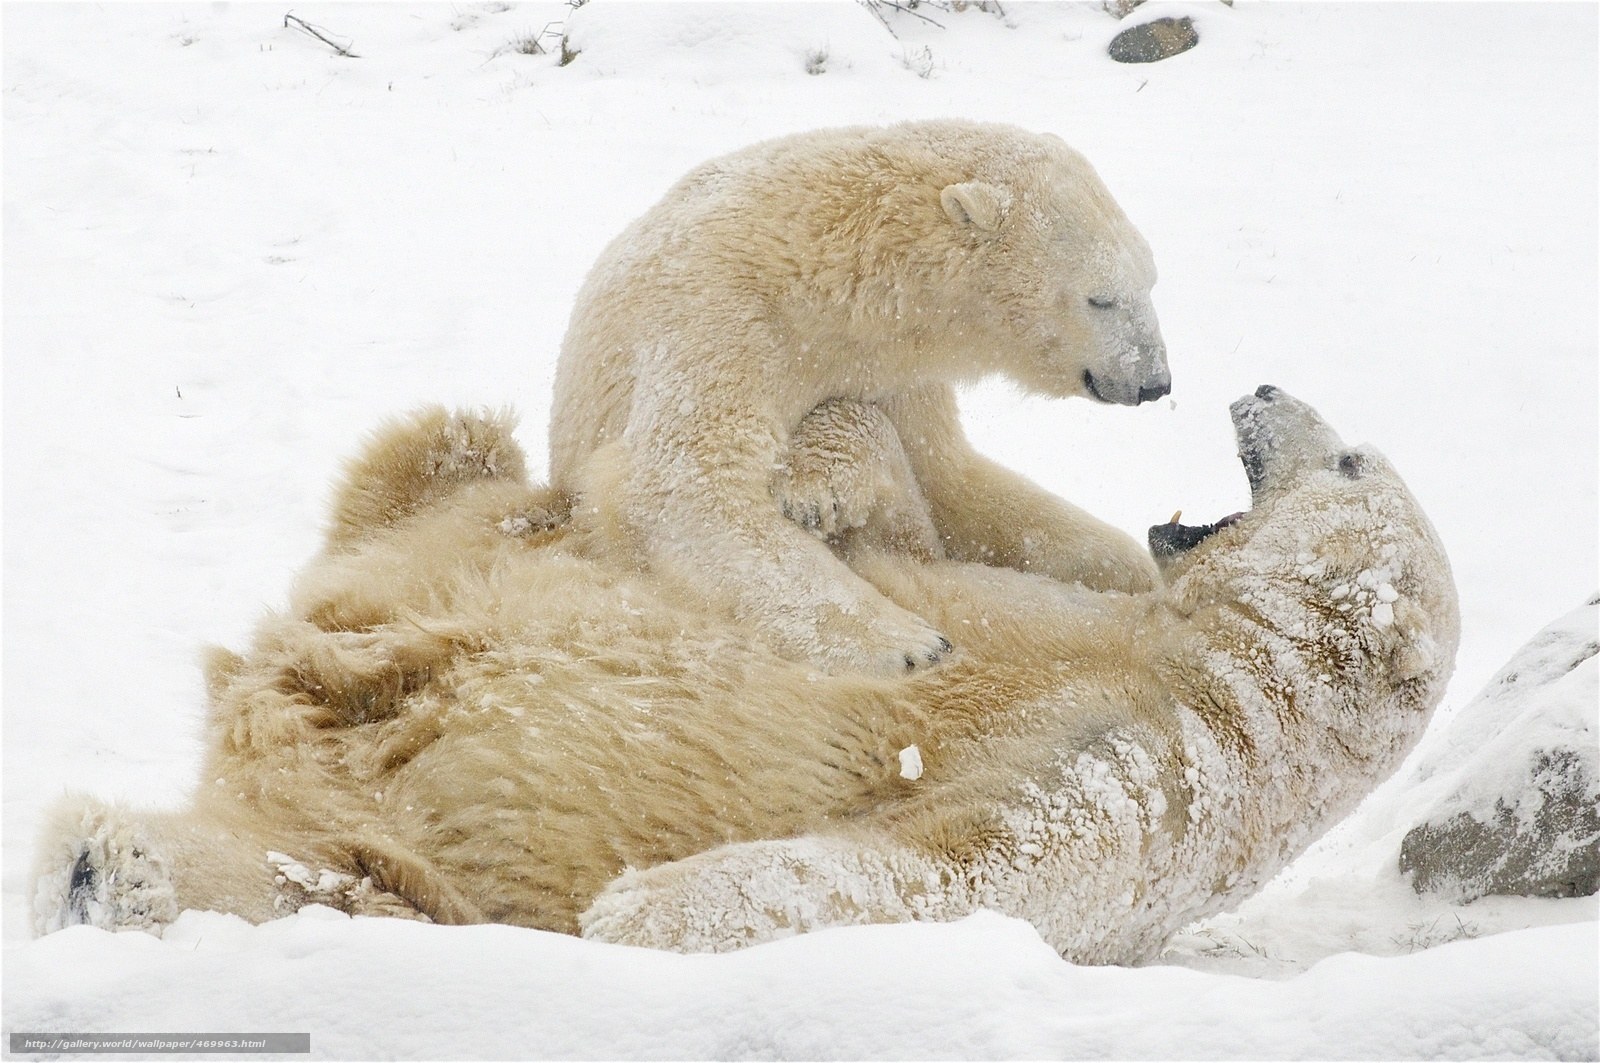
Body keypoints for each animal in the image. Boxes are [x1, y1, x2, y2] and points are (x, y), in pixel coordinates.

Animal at [34, 386, 1459, 965]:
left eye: (1349, 462)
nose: (1263, 385)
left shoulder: (1152, 763)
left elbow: (949, 864)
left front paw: (638, 910)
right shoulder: (1069, 619)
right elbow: (907, 550)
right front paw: (819, 479)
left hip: (410, 860)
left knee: (335, 876)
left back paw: (113, 868)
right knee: (446, 462)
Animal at [548, 119, 1171, 677]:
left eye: (1151, 280)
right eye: (1100, 298)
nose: (1154, 382)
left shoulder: (894, 369)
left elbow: (950, 478)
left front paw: (1126, 566)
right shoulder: (719, 315)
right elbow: (680, 484)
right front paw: (910, 642)